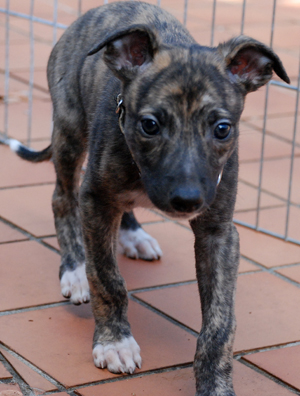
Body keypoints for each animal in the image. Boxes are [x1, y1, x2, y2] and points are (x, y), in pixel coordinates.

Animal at [10, 1, 290, 394]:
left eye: (222, 129)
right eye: (150, 125)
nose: (187, 200)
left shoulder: (218, 231)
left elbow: (221, 321)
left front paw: (215, 383)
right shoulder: (95, 202)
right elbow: (107, 278)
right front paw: (114, 342)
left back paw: (133, 235)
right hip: (69, 131)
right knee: (61, 198)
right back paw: (74, 269)